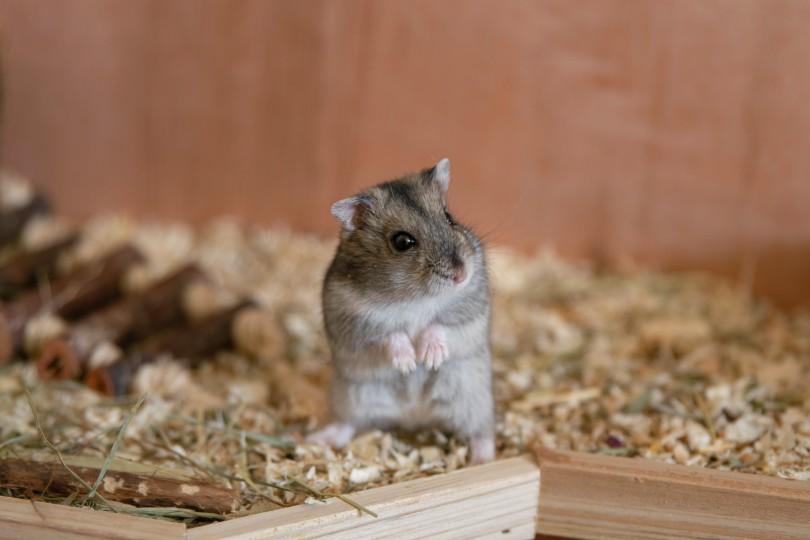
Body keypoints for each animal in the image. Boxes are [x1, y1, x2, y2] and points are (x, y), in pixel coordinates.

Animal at [307, 158, 495, 465]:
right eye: (402, 242)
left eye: (449, 217)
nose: (461, 275)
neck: (415, 297)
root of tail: (414, 417)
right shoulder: (354, 320)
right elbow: (389, 334)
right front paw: (408, 363)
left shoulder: (470, 308)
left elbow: (440, 325)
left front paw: (429, 358)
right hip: (351, 397)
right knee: (347, 424)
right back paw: (316, 439)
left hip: (474, 398)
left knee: (482, 432)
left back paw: (482, 461)